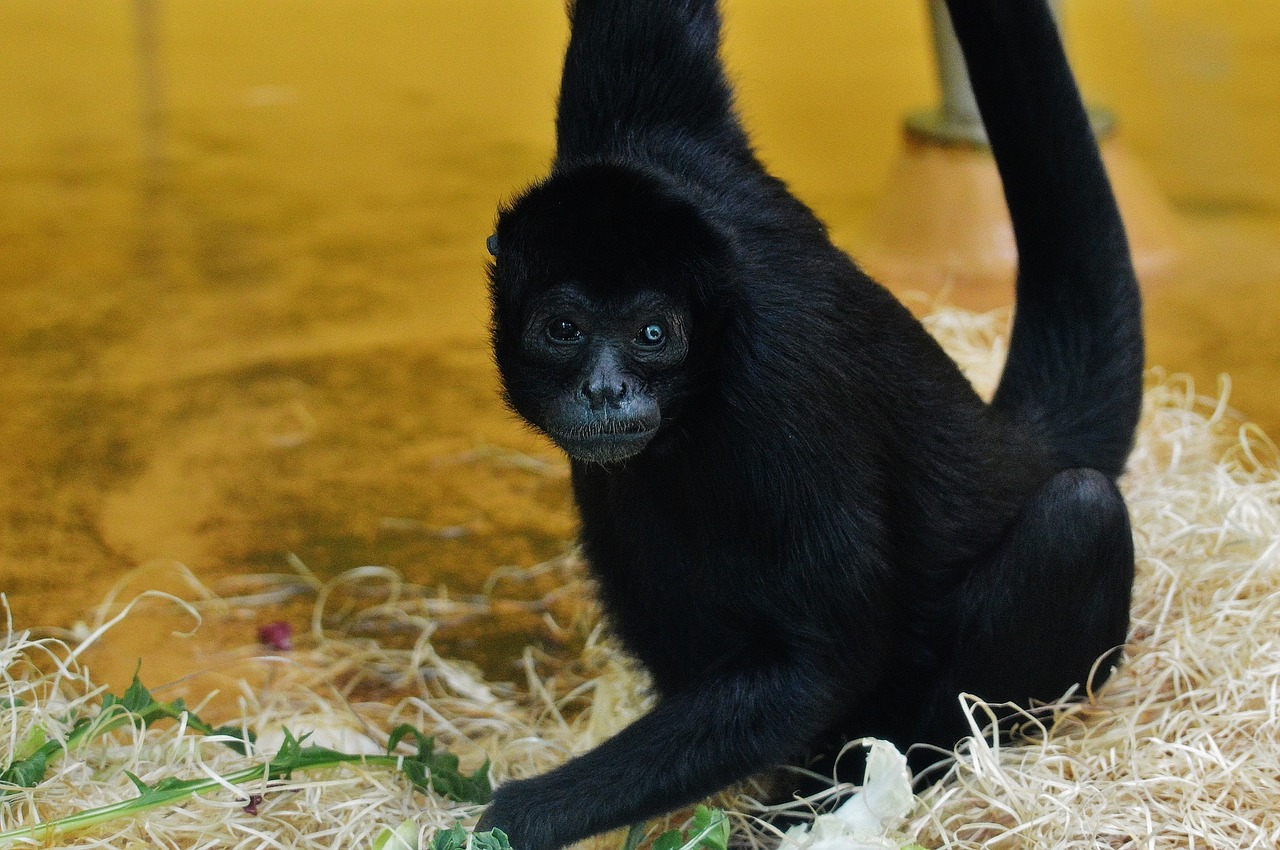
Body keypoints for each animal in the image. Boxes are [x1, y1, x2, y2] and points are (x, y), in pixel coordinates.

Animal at [476, 3, 1146, 844]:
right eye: (563, 329)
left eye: (652, 335)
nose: (603, 389)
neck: (721, 322)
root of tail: (1021, 449)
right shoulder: (652, 129)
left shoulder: (780, 391)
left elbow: (824, 662)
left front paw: (516, 814)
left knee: (1079, 514)